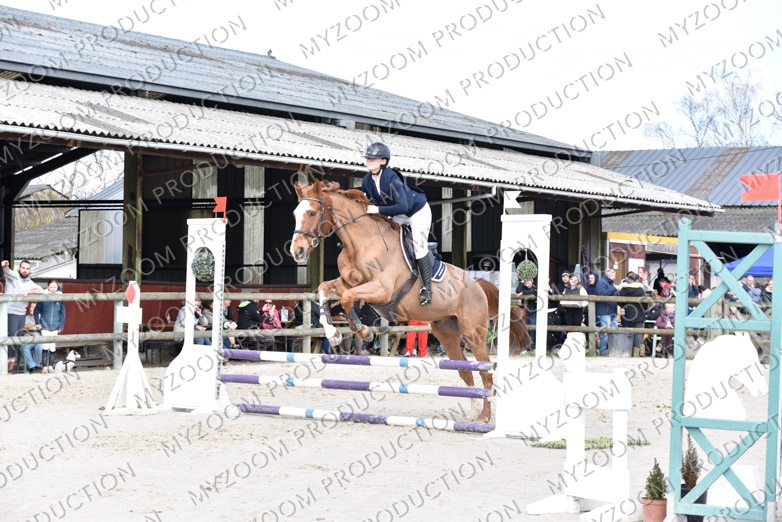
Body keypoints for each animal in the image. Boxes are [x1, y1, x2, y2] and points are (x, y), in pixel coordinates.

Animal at [289, 180, 530, 423]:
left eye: (312, 212)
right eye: (295, 214)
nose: (297, 251)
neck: (361, 243)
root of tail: (478, 284)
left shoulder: (382, 290)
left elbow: (348, 299)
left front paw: (363, 331)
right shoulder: (346, 283)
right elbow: (324, 289)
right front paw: (333, 333)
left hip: (474, 334)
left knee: (485, 372)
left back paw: (484, 417)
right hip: (447, 333)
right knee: (466, 371)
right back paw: (473, 411)